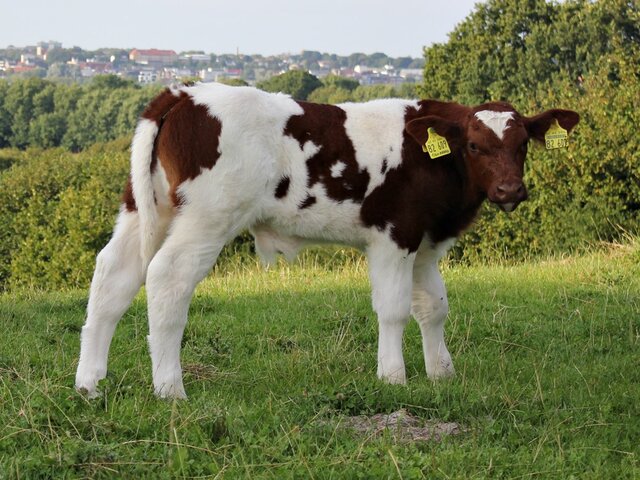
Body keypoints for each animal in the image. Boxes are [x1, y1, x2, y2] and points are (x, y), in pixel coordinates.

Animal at [75, 82, 579, 399]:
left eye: (523, 144)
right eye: (474, 145)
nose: (510, 190)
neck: (427, 157)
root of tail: (182, 94)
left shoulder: (425, 242)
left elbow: (433, 306)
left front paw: (442, 373)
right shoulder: (393, 235)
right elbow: (394, 309)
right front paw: (393, 376)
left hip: (145, 208)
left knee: (113, 277)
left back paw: (89, 384)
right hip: (207, 217)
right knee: (167, 278)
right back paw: (170, 388)